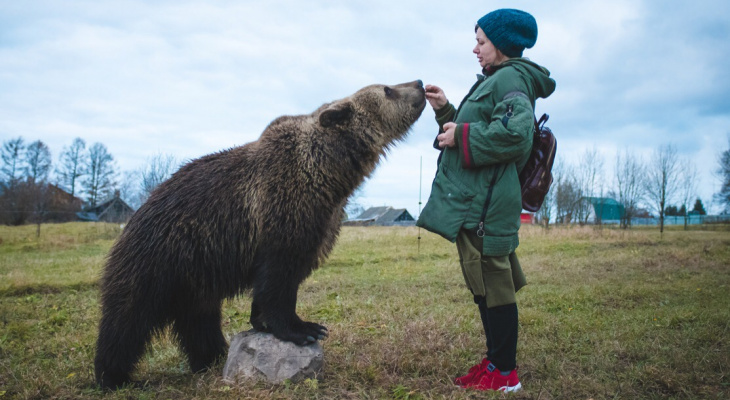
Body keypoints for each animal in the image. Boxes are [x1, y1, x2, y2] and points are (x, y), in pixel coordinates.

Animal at [95, 78, 426, 388]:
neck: (329, 172)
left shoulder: (320, 218)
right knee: (128, 318)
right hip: (160, 257)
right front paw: (304, 329)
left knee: (199, 320)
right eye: (387, 89)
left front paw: (266, 322)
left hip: (195, 276)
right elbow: (279, 277)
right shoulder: (284, 210)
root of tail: (135, 215)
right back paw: (113, 375)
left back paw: (212, 355)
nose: (420, 83)